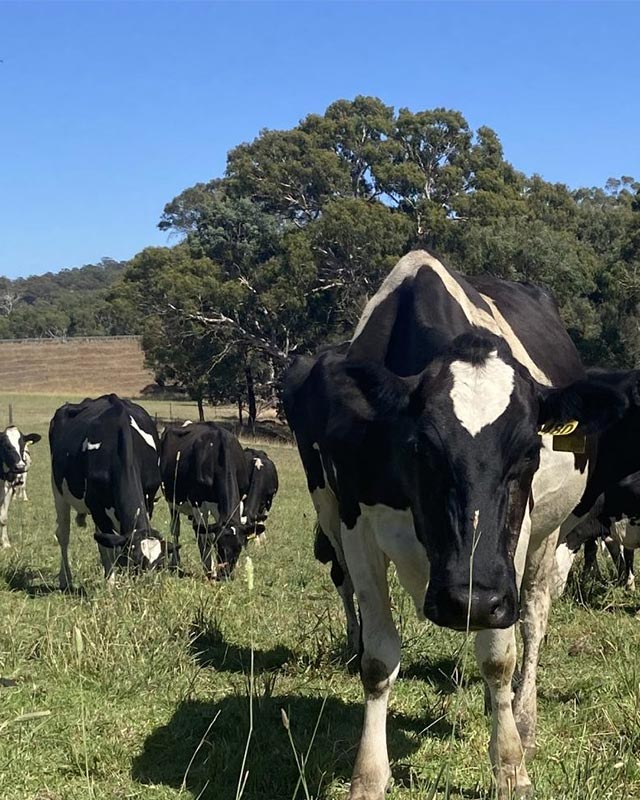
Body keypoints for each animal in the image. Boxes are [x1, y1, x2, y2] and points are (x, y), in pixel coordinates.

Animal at [49, 394, 169, 590]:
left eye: (160, 563)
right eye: (135, 562)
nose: (148, 585)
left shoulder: (149, 498)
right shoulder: (96, 507)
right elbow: (109, 548)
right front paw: (111, 582)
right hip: (57, 489)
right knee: (63, 534)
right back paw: (65, 579)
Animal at [160, 421, 250, 579]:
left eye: (239, 548)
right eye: (219, 547)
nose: (225, 575)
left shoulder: (238, 502)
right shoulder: (198, 504)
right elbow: (207, 537)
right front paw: (209, 568)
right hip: (172, 501)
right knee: (176, 530)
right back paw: (175, 563)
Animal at [284, 250, 628, 799]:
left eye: (529, 453)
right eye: (420, 448)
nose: (471, 601)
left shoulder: (513, 547)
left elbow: (499, 655)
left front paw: (509, 765)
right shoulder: (357, 528)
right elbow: (378, 659)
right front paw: (368, 776)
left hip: (548, 540)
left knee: (532, 620)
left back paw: (522, 719)